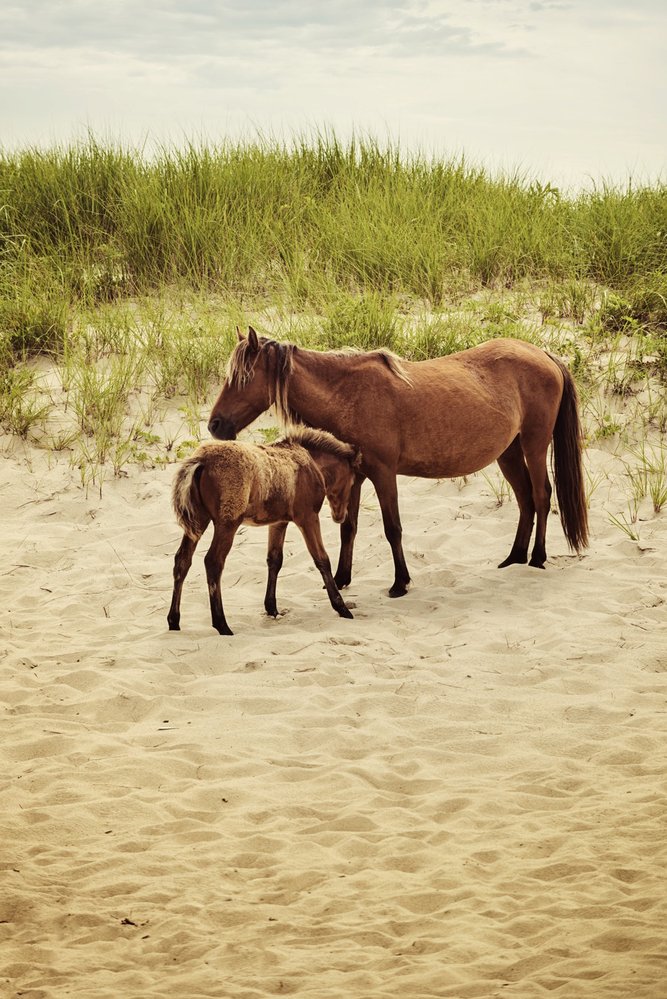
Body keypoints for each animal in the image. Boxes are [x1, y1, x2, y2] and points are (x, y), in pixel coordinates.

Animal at [209, 326, 588, 592]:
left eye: (242, 378)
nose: (215, 425)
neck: (348, 394)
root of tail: (543, 355)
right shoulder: (355, 476)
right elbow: (349, 528)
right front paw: (341, 578)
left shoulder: (383, 473)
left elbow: (393, 528)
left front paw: (400, 582)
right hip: (508, 453)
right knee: (525, 499)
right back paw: (514, 558)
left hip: (534, 445)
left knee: (541, 495)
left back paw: (537, 558)